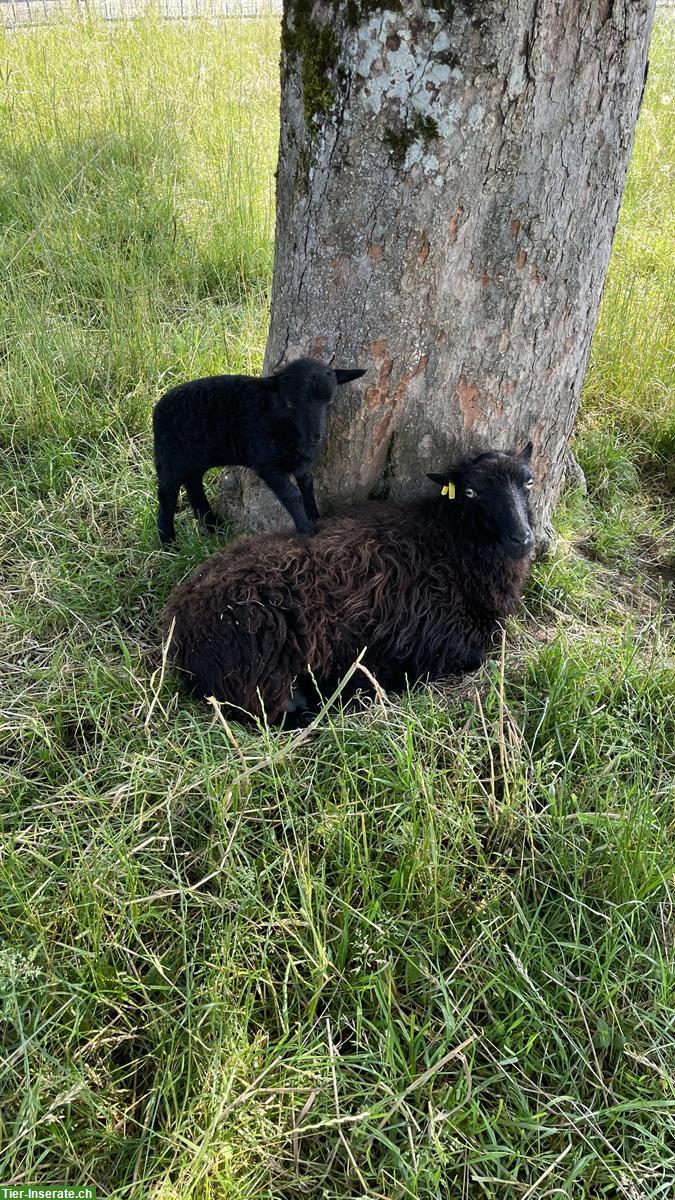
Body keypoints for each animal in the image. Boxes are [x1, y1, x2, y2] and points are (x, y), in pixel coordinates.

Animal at [151, 355, 365, 544]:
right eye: (290, 404)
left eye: (330, 400)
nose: (316, 437)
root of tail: (158, 407)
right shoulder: (266, 463)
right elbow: (292, 495)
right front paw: (307, 529)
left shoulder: (301, 465)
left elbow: (307, 486)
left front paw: (314, 516)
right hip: (169, 459)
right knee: (166, 498)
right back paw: (168, 544)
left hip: (196, 457)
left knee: (193, 484)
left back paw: (213, 526)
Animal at [159, 441, 533, 720]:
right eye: (471, 492)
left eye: (528, 482)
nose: (523, 538)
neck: (451, 537)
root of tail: (179, 627)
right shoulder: (447, 632)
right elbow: (472, 653)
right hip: (260, 660)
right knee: (271, 713)